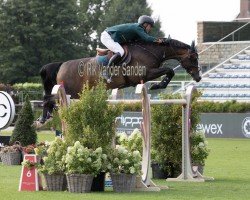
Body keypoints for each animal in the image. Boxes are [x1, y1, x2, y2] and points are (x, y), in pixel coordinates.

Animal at [37, 38, 201, 124]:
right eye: (193, 57)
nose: (198, 77)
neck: (151, 51)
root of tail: (62, 65)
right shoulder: (146, 73)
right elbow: (169, 70)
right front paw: (157, 85)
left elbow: (169, 71)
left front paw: (159, 84)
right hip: (71, 92)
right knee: (48, 98)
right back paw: (43, 117)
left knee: (49, 98)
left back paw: (45, 116)